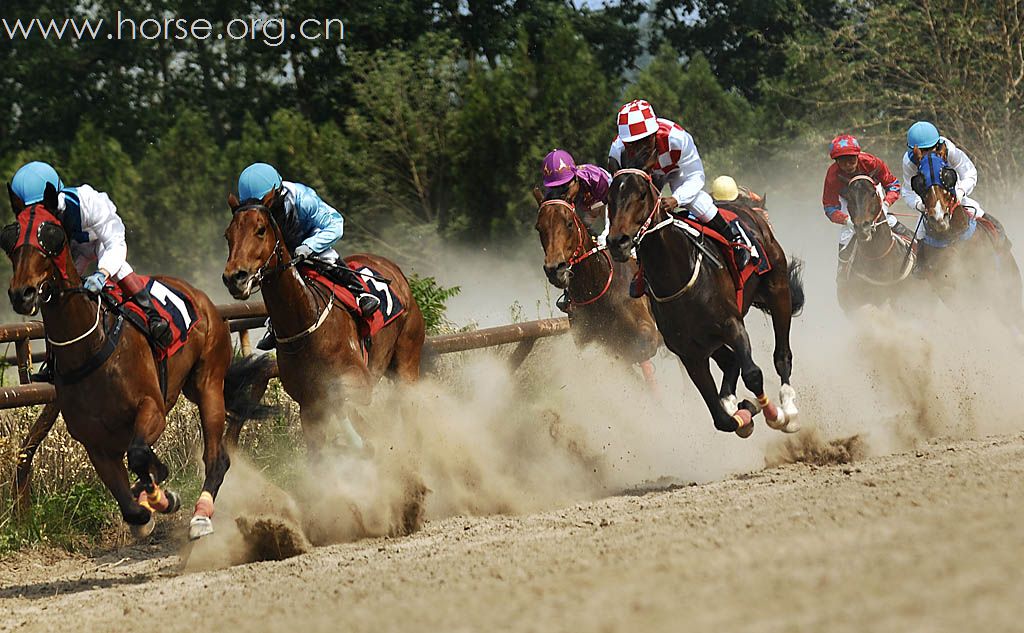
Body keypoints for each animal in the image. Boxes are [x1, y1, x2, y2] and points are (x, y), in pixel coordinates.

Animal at [4, 181, 268, 536]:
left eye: (52, 235)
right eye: (10, 238)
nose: (23, 293)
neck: (90, 348)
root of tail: (200, 296)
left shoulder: (151, 409)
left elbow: (140, 454)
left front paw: (162, 495)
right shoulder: (95, 444)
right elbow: (133, 508)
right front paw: (151, 496)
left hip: (209, 383)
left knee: (217, 459)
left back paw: (201, 515)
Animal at [222, 189, 425, 460]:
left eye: (260, 229)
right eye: (228, 235)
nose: (235, 278)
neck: (304, 324)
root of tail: (394, 269)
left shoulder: (360, 382)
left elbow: (340, 398)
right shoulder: (308, 408)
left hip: (407, 363)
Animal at [602, 165, 802, 434]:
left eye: (642, 194)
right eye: (609, 199)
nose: (617, 242)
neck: (676, 278)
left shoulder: (731, 325)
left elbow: (752, 374)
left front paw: (773, 414)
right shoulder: (689, 353)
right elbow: (721, 419)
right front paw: (744, 413)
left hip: (778, 291)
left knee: (781, 354)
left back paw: (788, 408)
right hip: (710, 341)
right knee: (730, 362)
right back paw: (733, 400)